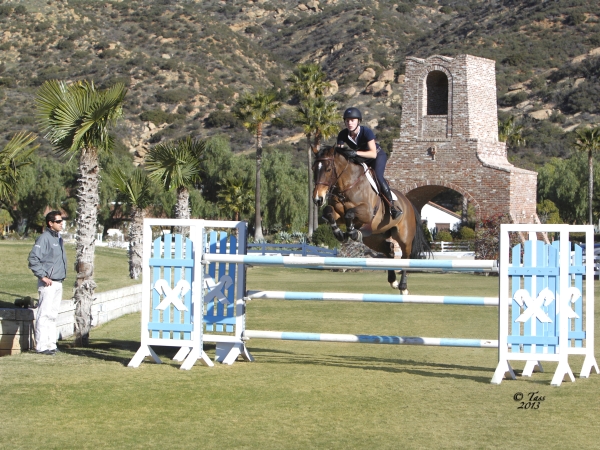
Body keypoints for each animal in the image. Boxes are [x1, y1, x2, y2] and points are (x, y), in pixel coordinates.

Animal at [312, 145, 428, 296]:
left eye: (328, 169)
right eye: (313, 168)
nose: (317, 199)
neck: (348, 185)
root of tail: (408, 202)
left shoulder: (366, 213)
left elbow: (349, 214)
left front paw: (352, 232)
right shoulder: (338, 213)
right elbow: (329, 212)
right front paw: (340, 233)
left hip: (404, 236)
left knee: (406, 256)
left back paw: (403, 287)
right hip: (374, 238)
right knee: (388, 251)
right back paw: (393, 281)